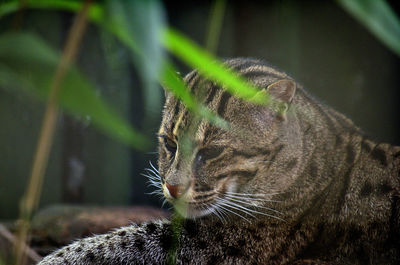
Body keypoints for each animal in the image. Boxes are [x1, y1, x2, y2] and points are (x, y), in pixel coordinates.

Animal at [37, 58, 400, 264]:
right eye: (169, 144)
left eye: (211, 153)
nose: (172, 187)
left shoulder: (231, 241)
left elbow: (128, 240)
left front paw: (56, 260)